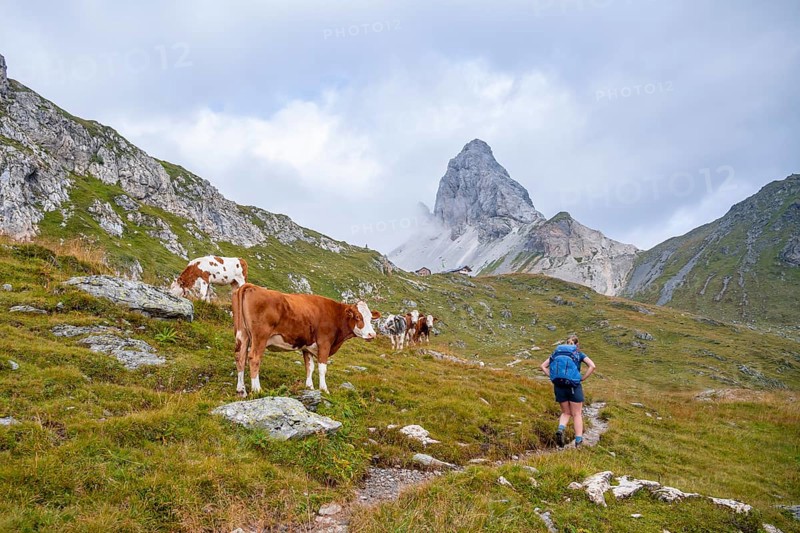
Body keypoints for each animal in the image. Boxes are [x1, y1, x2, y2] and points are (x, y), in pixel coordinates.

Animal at [232, 283, 380, 396]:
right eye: (357, 317)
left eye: (370, 318)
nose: (372, 334)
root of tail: (252, 286)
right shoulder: (324, 343)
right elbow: (322, 368)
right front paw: (324, 389)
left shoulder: (307, 346)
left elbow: (310, 367)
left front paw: (310, 387)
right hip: (260, 336)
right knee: (254, 358)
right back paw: (257, 389)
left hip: (242, 334)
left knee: (240, 357)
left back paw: (241, 390)